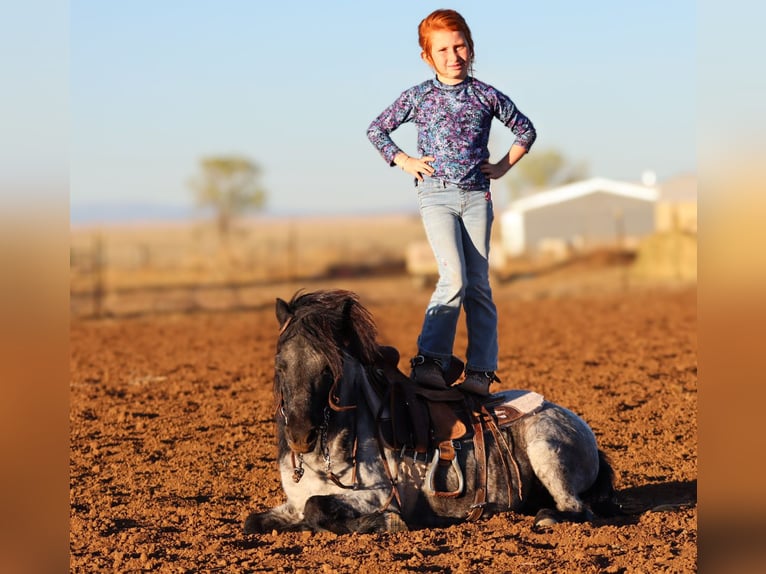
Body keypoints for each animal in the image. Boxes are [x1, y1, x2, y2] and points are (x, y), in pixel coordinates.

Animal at [244, 289, 616, 534]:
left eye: (327, 369)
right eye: (280, 364)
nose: (300, 435)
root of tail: (580, 425)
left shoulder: (377, 495)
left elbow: (317, 507)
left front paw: (389, 523)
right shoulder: (292, 503)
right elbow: (254, 521)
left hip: (546, 452)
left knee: (577, 508)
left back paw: (547, 517)